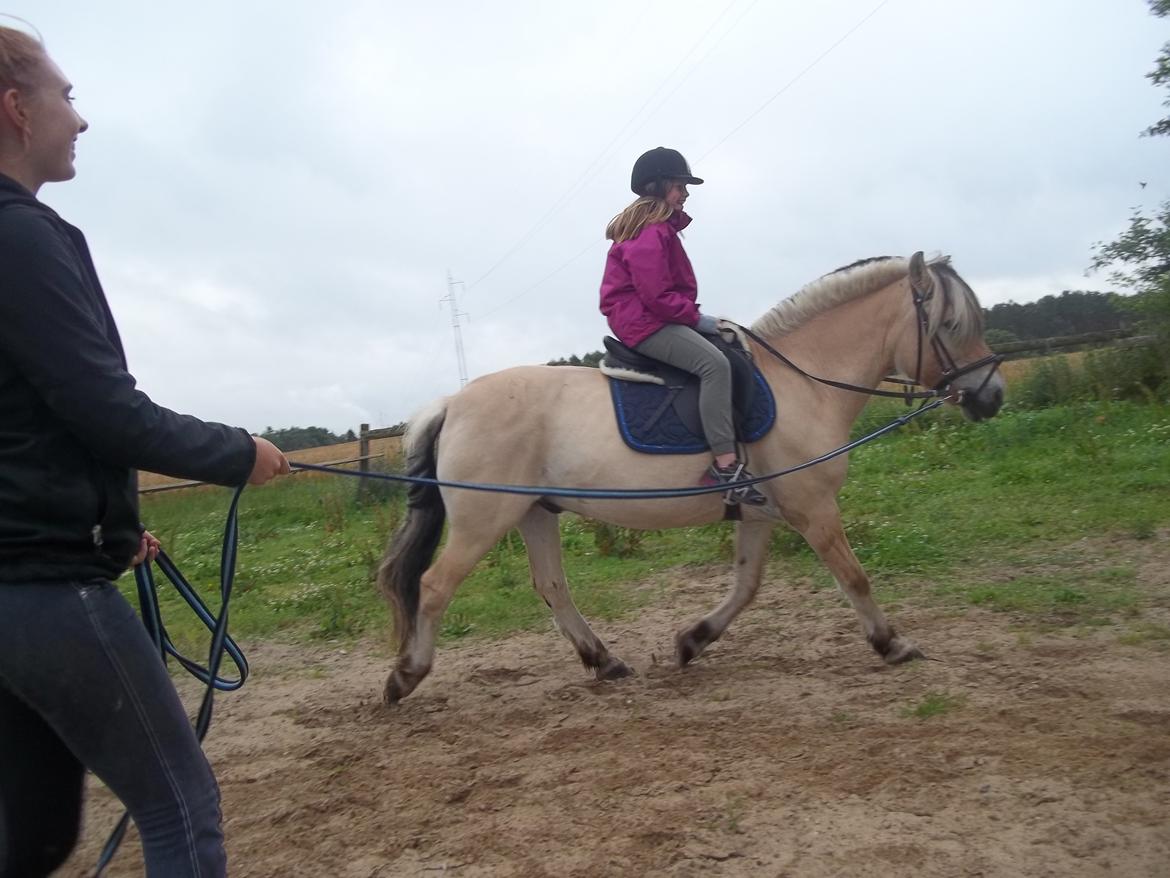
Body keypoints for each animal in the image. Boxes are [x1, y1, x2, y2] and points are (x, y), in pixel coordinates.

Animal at [377, 252, 1005, 704]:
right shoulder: (813, 507)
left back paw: (605, 661)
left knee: (551, 587)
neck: (804, 383)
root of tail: (452, 403)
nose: (992, 396)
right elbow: (855, 577)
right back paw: (405, 677)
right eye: (952, 324)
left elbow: (747, 586)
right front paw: (892, 643)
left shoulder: (761, 512)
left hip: (534, 512)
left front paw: (690, 642)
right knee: (435, 586)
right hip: (484, 520)